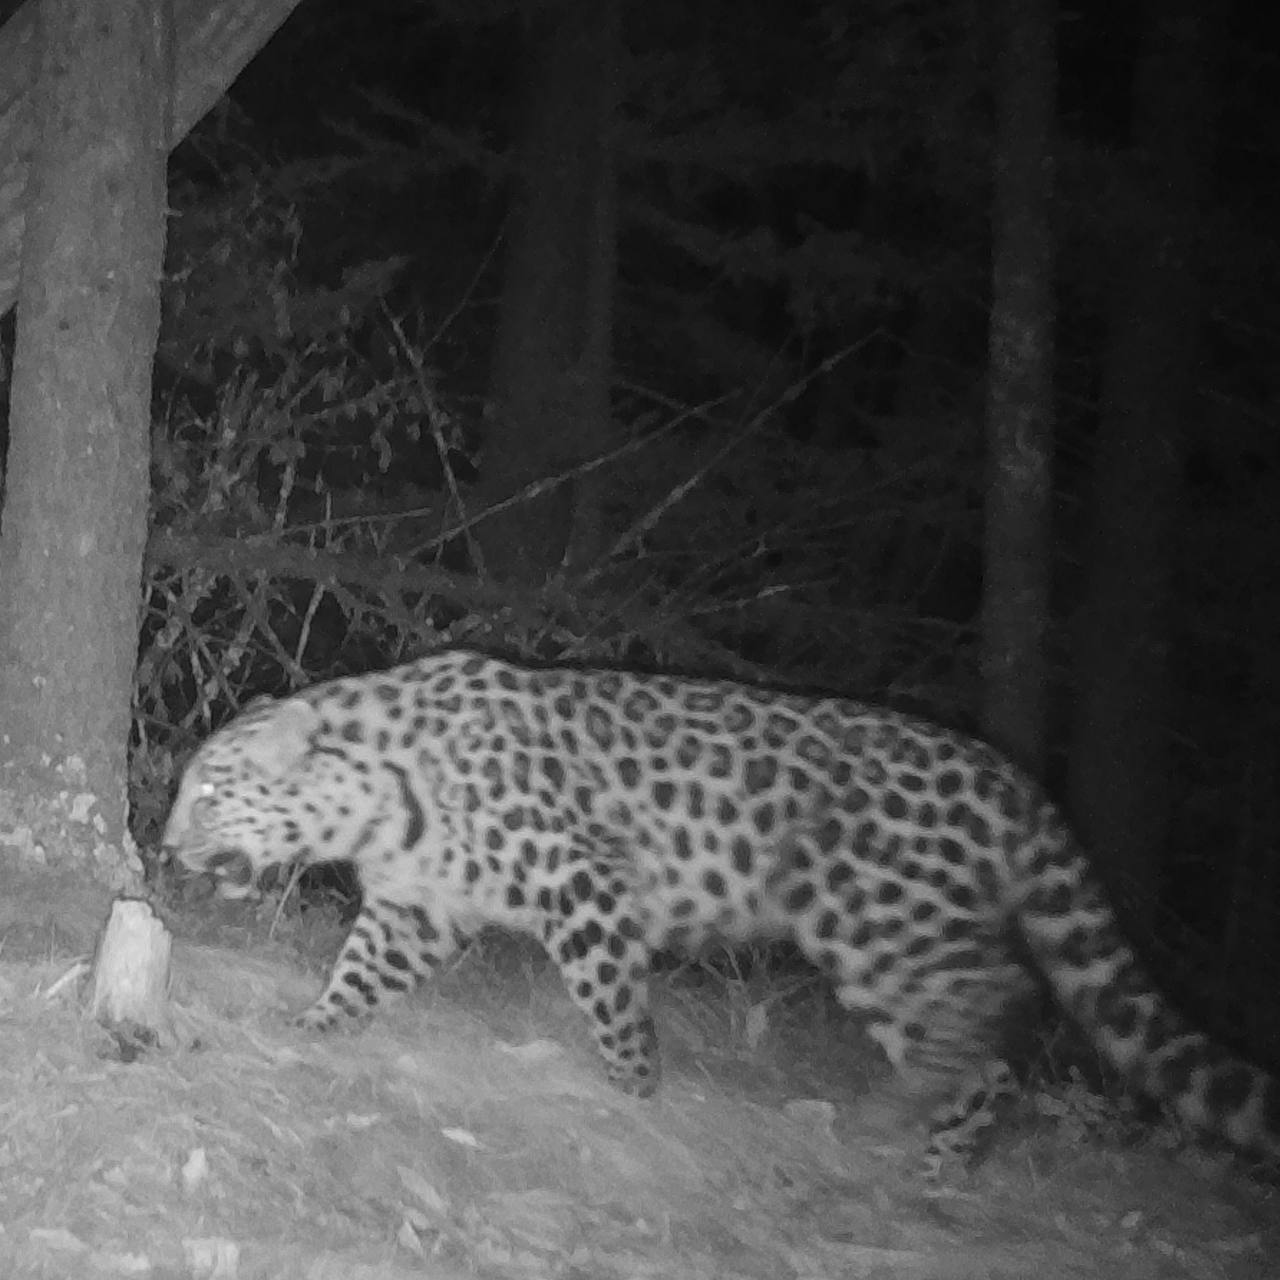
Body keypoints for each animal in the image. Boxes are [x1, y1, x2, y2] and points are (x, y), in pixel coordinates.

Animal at [162, 655, 1280, 1167]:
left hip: (869, 918)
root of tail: (1008, 774)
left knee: (996, 998)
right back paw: (936, 1151)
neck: (379, 797)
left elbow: (613, 1000)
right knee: (978, 1042)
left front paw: (632, 1090)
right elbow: (361, 970)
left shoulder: (585, 886)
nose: (166, 847)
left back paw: (911, 1126)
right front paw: (313, 1023)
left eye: (210, 791)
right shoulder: (415, 908)